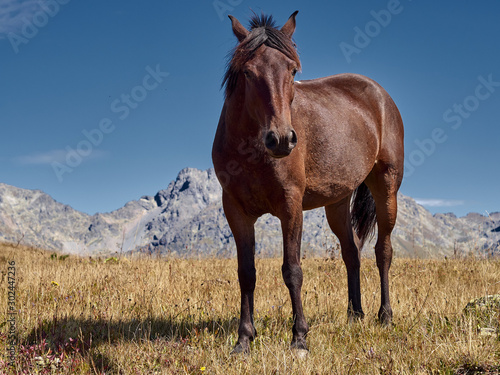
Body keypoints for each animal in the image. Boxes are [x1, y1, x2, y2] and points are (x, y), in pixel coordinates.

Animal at [213, 10, 404, 354]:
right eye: (247, 72)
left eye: (292, 70)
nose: (281, 139)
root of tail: (380, 95)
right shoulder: (235, 210)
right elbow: (246, 273)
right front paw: (244, 339)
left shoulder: (290, 206)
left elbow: (292, 270)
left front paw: (299, 337)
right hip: (338, 202)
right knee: (351, 252)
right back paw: (355, 315)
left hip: (386, 188)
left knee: (383, 250)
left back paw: (385, 316)